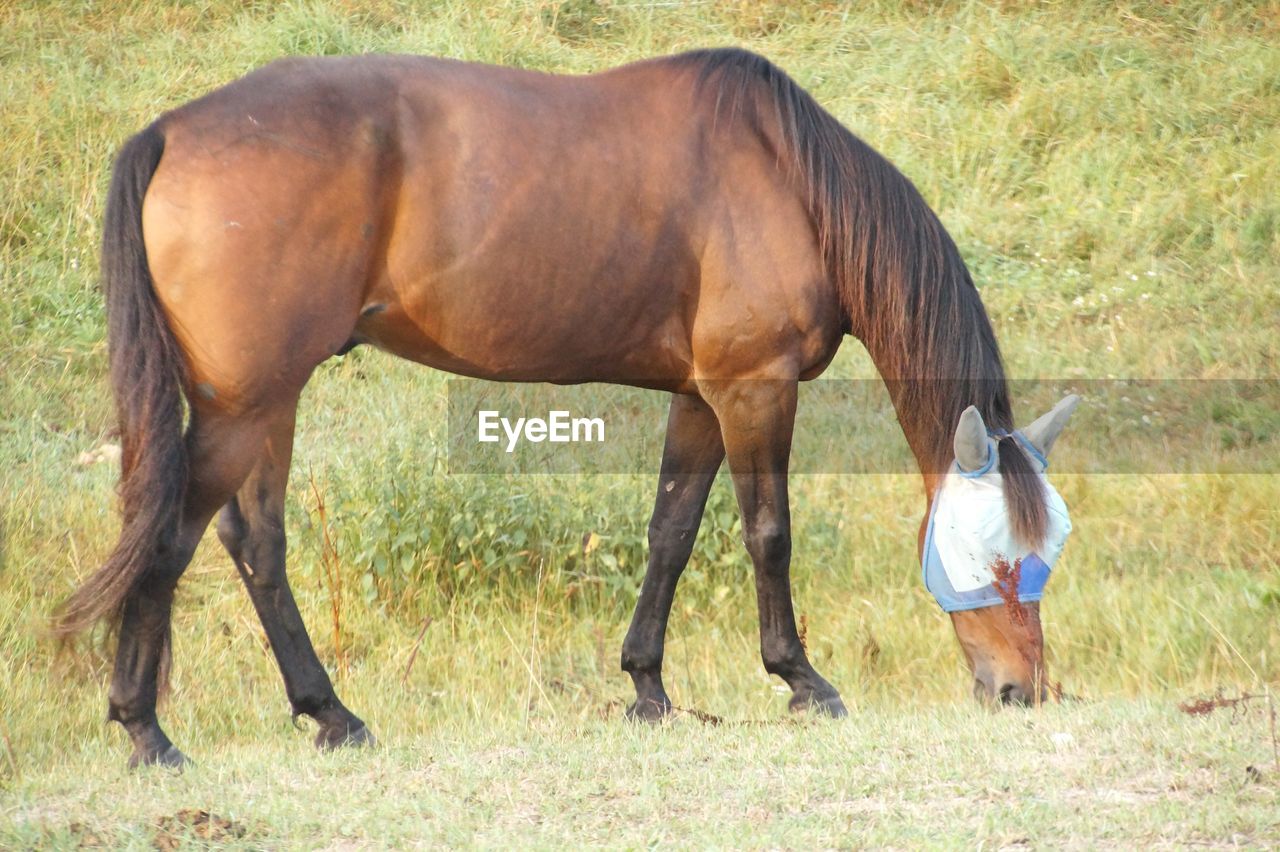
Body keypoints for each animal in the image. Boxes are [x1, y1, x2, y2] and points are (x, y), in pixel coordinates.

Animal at [60, 46, 1080, 767]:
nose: (1022, 691)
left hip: (265, 400)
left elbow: (671, 532)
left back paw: (331, 716)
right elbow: (768, 534)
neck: (788, 176)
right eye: (997, 552)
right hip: (248, 402)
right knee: (174, 536)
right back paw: (146, 731)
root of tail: (174, 132)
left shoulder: (700, 397)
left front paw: (648, 691)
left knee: (254, 542)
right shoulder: (754, 388)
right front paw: (801, 681)